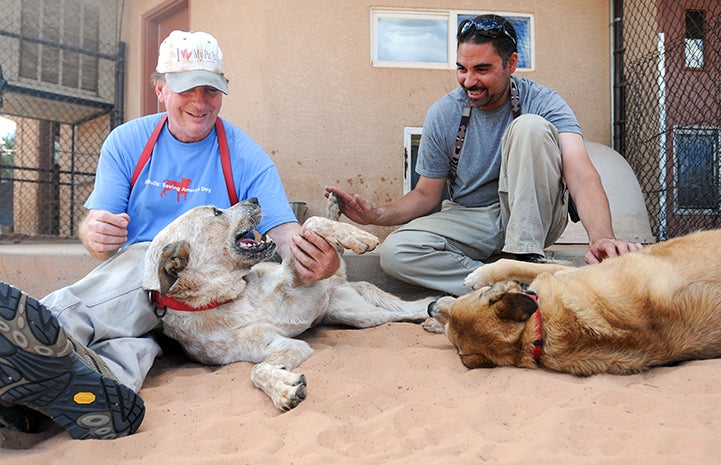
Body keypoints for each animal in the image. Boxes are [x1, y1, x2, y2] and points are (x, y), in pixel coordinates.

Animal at [143, 196, 430, 410]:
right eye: (216, 211)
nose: (255, 198)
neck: (233, 296)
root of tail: (339, 284)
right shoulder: (284, 345)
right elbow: (257, 370)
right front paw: (283, 388)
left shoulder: (298, 275)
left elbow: (311, 223)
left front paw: (355, 235)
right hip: (359, 314)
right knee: (398, 313)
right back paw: (431, 312)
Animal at [424, 230, 720, 376]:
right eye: (451, 333)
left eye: (477, 295)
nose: (430, 306)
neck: (536, 331)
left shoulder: (566, 272)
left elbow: (518, 264)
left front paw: (479, 274)